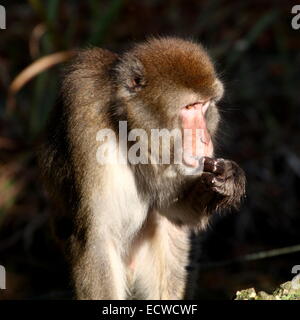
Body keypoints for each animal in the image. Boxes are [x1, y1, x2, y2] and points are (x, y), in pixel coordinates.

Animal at [38, 37, 246, 300]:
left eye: (205, 105)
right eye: (190, 107)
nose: (205, 140)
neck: (122, 125)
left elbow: (173, 210)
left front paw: (229, 179)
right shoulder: (83, 113)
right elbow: (96, 239)